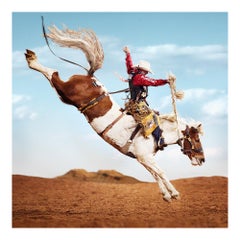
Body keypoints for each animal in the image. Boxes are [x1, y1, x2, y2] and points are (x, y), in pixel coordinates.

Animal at [23, 23, 204, 201]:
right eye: (196, 138)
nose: (202, 159)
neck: (158, 132)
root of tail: (90, 77)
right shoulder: (145, 156)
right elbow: (161, 172)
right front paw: (174, 193)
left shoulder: (143, 158)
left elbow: (155, 174)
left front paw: (166, 194)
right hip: (68, 91)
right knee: (53, 74)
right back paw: (32, 59)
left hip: (66, 97)